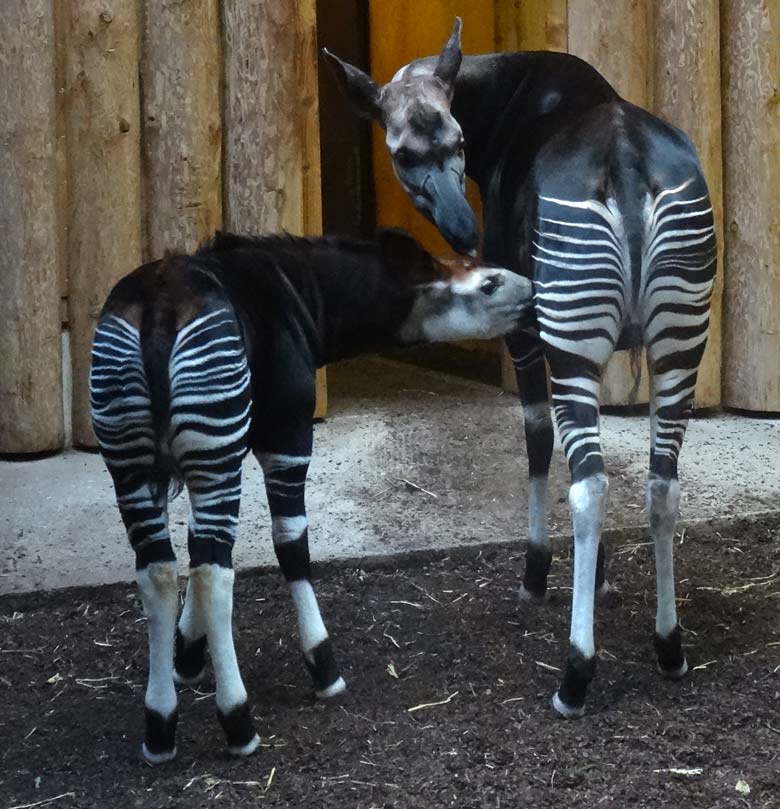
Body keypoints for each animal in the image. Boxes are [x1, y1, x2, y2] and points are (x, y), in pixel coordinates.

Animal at [90, 229, 532, 764]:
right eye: (490, 283)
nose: (534, 292)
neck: (304, 294)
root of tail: (160, 307)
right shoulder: (287, 435)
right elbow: (291, 547)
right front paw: (323, 667)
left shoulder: (226, 446)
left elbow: (195, 545)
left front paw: (188, 655)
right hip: (207, 445)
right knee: (216, 575)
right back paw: (238, 721)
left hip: (130, 459)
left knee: (157, 572)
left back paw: (159, 727)